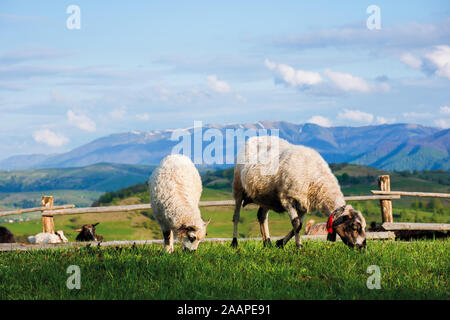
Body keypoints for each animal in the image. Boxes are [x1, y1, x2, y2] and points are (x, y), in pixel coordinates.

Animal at [232, 135, 366, 250]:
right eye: (354, 227)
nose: (363, 248)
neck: (316, 181)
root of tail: (254, 138)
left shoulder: (304, 204)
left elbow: (299, 225)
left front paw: (280, 243)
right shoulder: (288, 199)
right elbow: (296, 224)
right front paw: (299, 246)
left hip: (266, 197)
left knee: (262, 216)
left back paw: (267, 243)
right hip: (238, 187)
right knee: (236, 216)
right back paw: (234, 243)